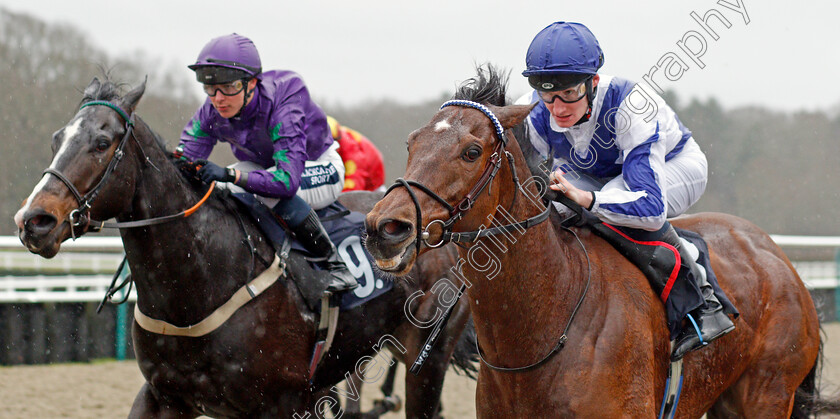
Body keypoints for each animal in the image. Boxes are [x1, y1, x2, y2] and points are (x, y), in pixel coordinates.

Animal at [14, 77, 472, 418]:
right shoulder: (162, 396)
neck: (199, 281)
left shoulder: (281, 403)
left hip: (429, 357)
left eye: (102, 142)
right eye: (57, 139)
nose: (34, 220)